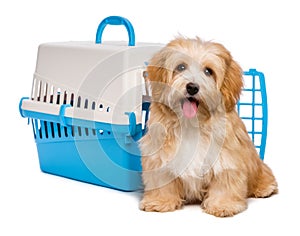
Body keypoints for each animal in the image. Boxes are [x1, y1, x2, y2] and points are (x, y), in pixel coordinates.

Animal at [139, 36, 278, 217]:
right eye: (181, 67)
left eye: (208, 71)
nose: (192, 87)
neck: (192, 124)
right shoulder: (159, 156)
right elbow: (162, 179)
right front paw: (160, 201)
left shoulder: (226, 158)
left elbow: (224, 181)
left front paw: (223, 205)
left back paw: (265, 188)